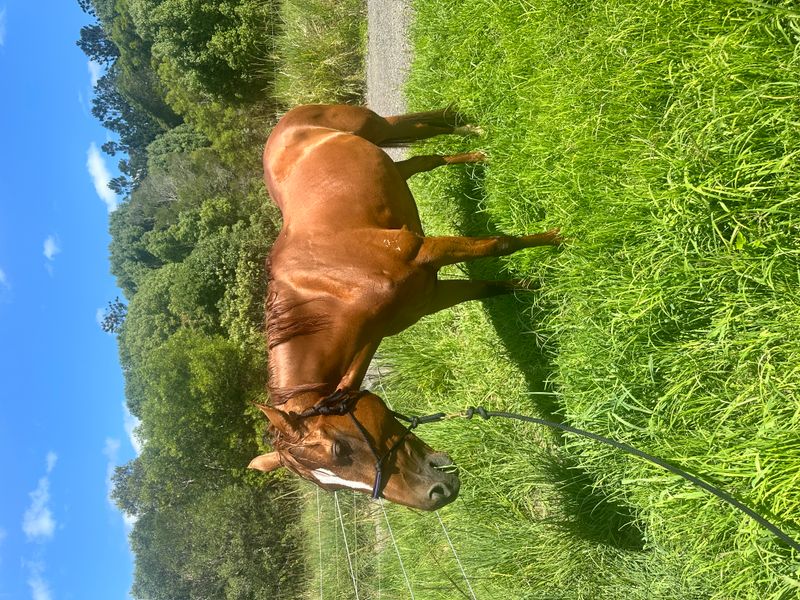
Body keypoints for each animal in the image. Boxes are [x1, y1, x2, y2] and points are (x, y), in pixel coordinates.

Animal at [248, 104, 562, 510]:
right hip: (392, 162)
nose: (436, 494)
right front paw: (533, 285)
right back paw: (475, 150)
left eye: (339, 449)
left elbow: (499, 244)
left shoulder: (425, 251)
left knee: (422, 127)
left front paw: (558, 238)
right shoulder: (433, 296)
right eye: (331, 487)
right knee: (423, 160)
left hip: (377, 128)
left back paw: (471, 131)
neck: (335, 288)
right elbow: (489, 287)